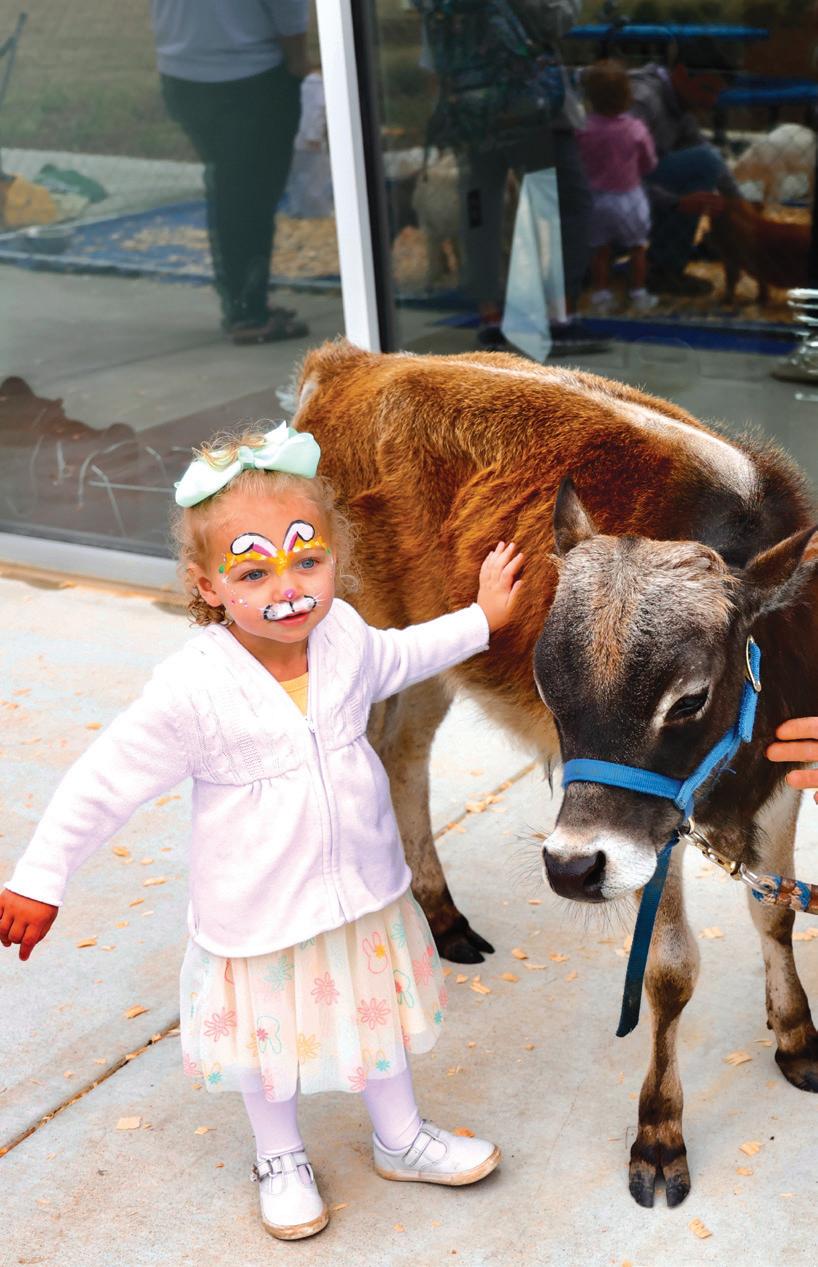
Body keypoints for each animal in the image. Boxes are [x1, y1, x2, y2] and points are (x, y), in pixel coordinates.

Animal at [293, 339, 818, 1205]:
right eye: (549, 686)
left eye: (690, 697)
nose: (572, 868)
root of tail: (353, 363)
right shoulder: (651, 837)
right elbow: (671, 972)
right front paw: (659, 1133)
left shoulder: (776, 781)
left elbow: (773, 912)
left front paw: (796, 1033)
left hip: (434, 661)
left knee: (405, 755)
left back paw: (444, 917)